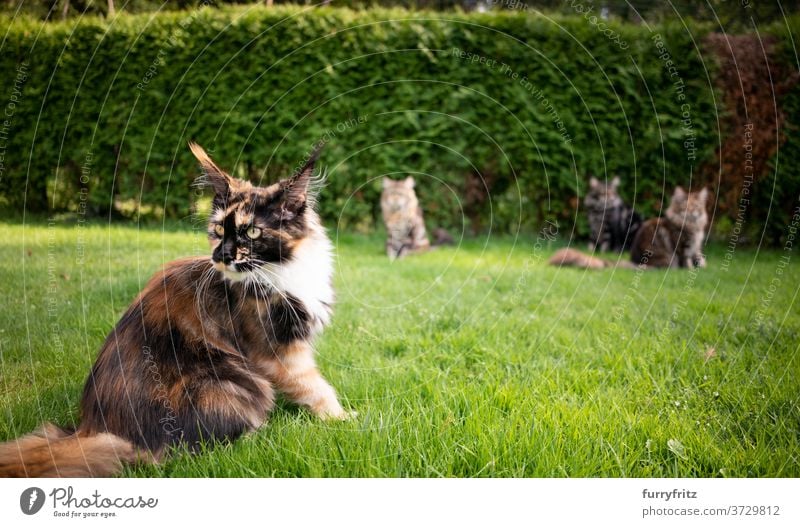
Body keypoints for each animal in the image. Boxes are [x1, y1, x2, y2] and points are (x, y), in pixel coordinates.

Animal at [0, 141, 352, 478]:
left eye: (252, 231)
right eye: (219, 230)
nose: (222, 256)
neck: (283, 268)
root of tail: (97, 430)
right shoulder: (277, 351)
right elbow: (314, 386)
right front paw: (343, 419)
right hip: (226, 383)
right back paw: (262, 432)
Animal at [552, 187, 712, 270]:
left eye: (696, 206)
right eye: (685, 206)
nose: (692, 212)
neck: (693, 226)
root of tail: (636, 261)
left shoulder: (695, 246)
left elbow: (699, 258)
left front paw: (702, 267)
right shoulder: (683, 246)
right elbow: (687, 261)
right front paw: (691, 270)